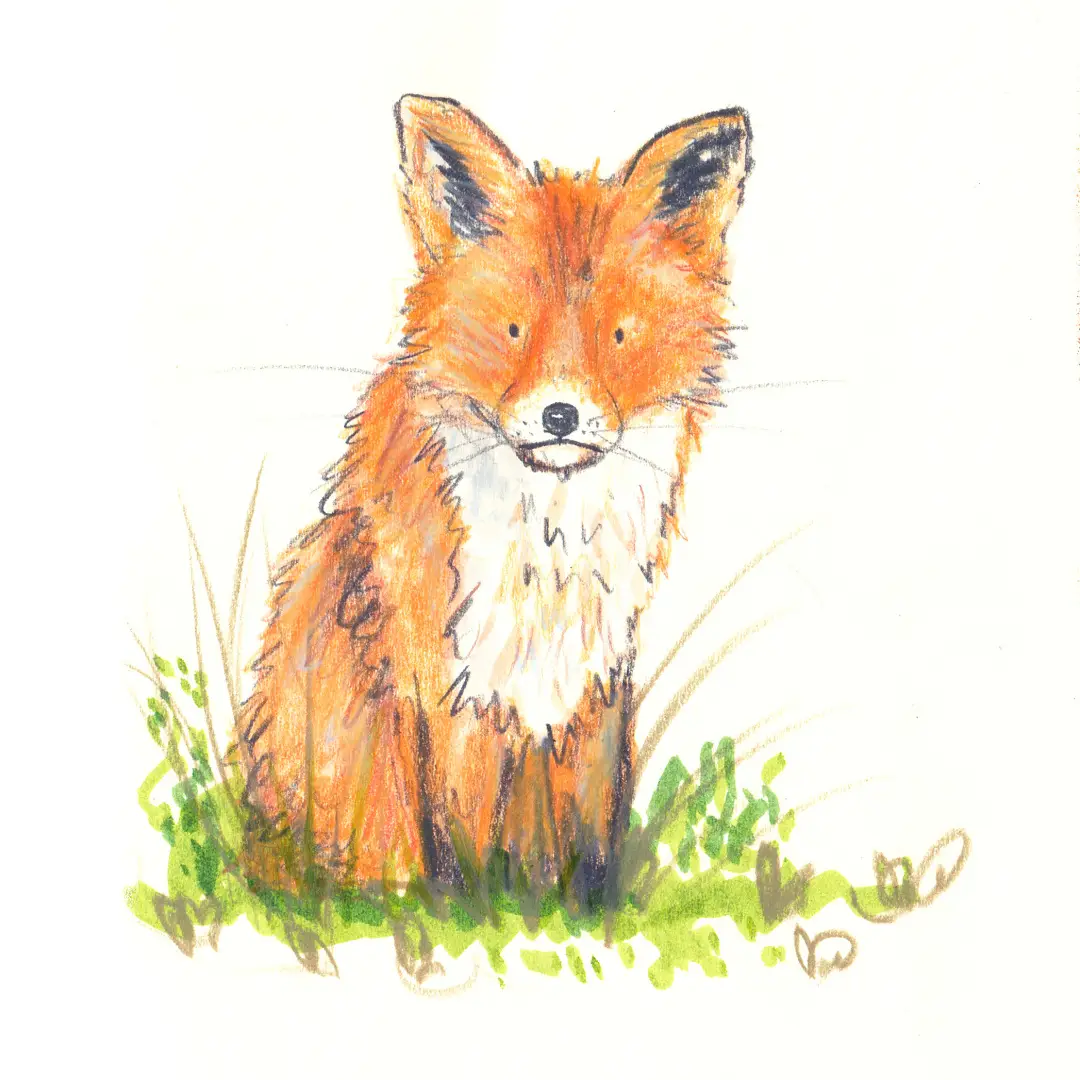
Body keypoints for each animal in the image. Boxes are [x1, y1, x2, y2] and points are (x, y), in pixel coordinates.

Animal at [236, 95, 752, 903]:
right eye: (513, 331)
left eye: (618, 335)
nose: (561, 415)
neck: (547, 558)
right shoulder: (448, 691)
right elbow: (458, 852)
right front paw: (466, 918)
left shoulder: (590, 695)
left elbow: (587, 850)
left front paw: (584, 916)